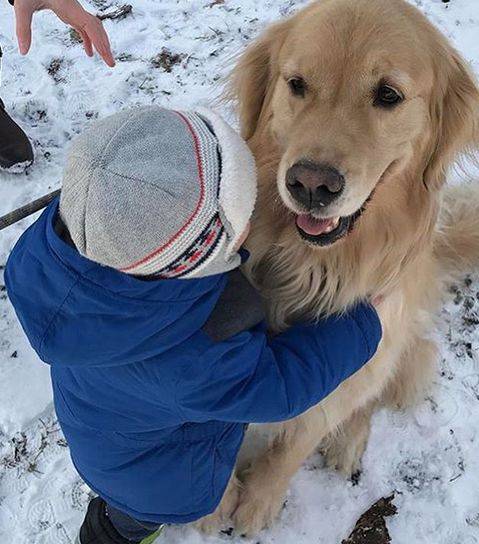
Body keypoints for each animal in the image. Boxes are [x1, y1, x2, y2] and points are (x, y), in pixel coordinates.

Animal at [196, 0, 479, 536]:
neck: (308, 264)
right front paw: (212, 500)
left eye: (388, 94)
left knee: (369, 397)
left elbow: (296, 442)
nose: (311, 184)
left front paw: (260, 501)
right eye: (297, 84)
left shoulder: (365, 338)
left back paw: (348, 442)